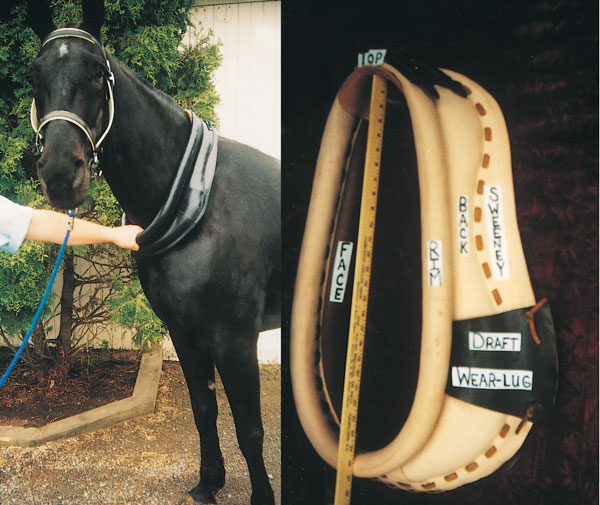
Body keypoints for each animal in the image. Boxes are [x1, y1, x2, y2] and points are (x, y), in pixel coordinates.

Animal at [24, 1, 282, 502]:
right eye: (34, 75)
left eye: (96, 73)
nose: (62, 174)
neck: (199, 201)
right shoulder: (184, 331)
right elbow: (204, 410)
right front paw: (208, 482)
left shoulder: (235, 338)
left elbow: (250, 428)